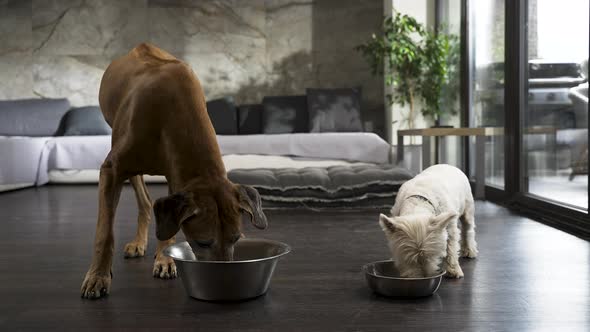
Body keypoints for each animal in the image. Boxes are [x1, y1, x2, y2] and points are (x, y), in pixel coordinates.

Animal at [80, 42, 268, 300]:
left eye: (236, 239)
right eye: (202, 243)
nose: (225, 281)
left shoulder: (176, 174)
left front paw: (166, 260)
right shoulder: (111, 170)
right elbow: (105, 233)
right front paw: (98, 276)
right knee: (143, 198)